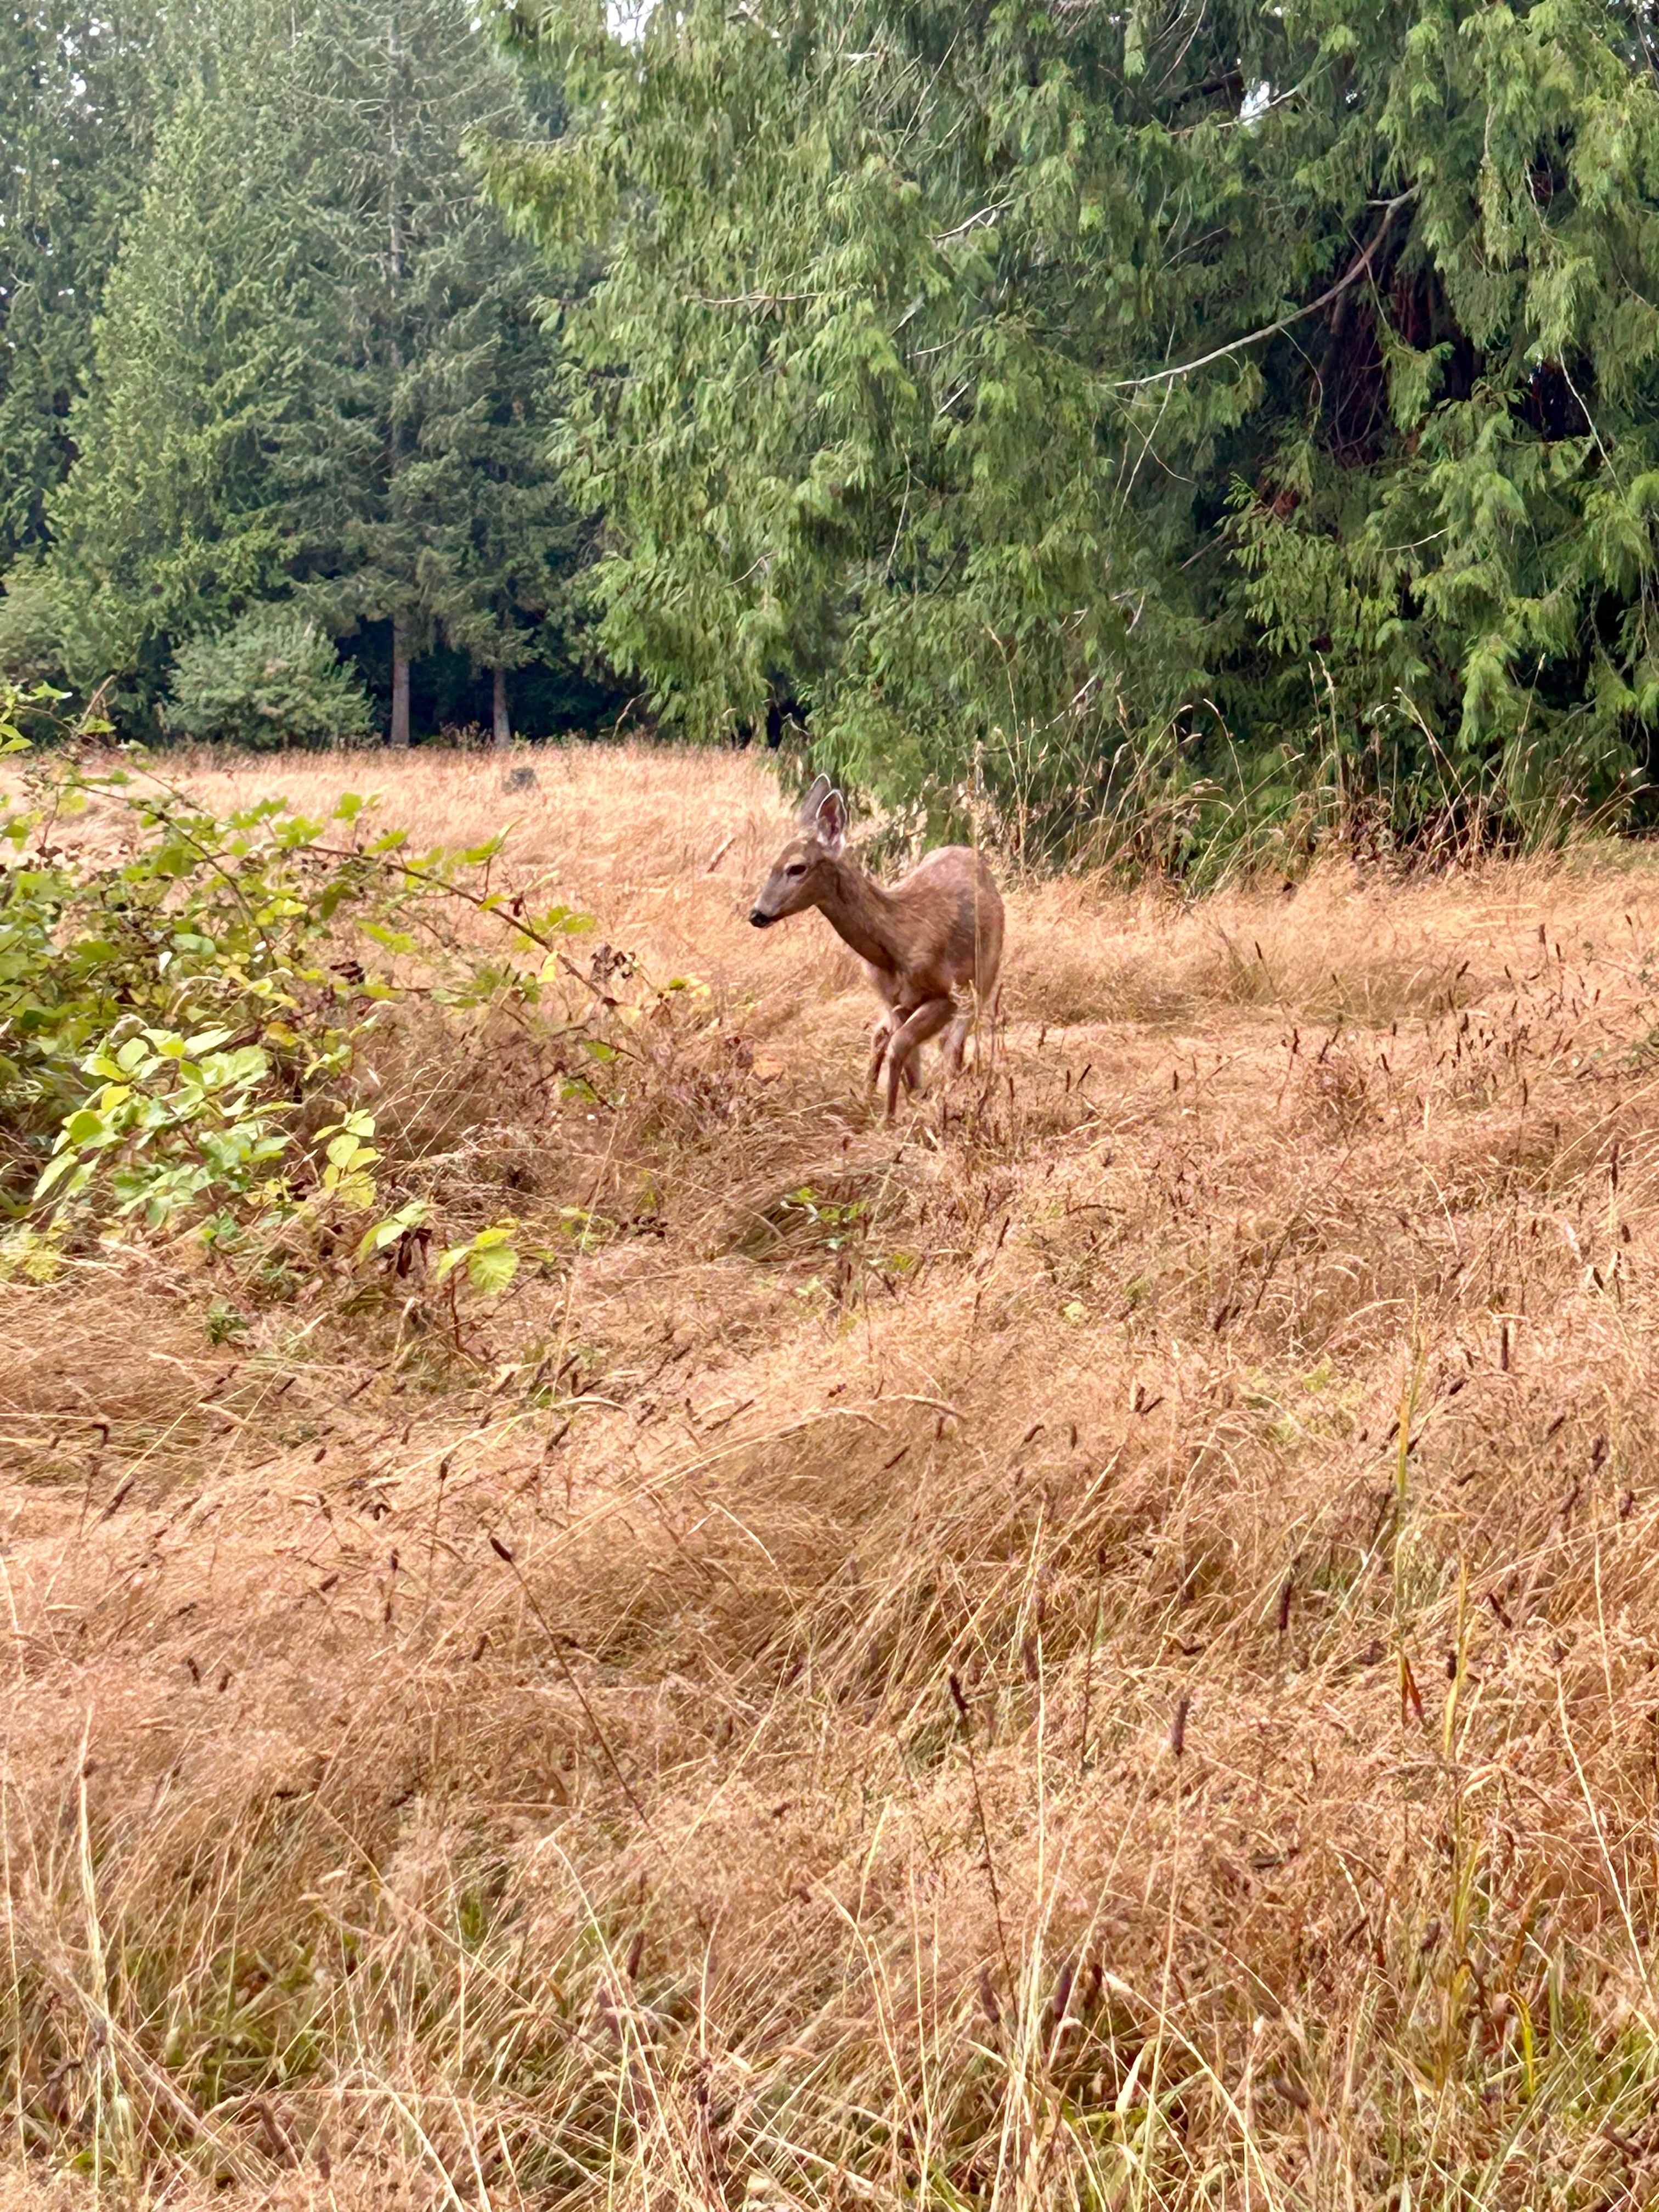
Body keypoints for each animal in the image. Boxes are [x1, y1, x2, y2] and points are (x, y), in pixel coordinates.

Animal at [748, 775, 1004, 1119]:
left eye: (797, 868)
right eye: (772, 865)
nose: (757, 914)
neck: (896, 943)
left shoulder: (946, 994)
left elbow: (903, 1045)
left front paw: (889, 1118)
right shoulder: (892, 999)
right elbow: (904, 1053)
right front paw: (901, 1107)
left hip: (985, 973)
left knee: (952, 1044)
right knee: (889, 1036)